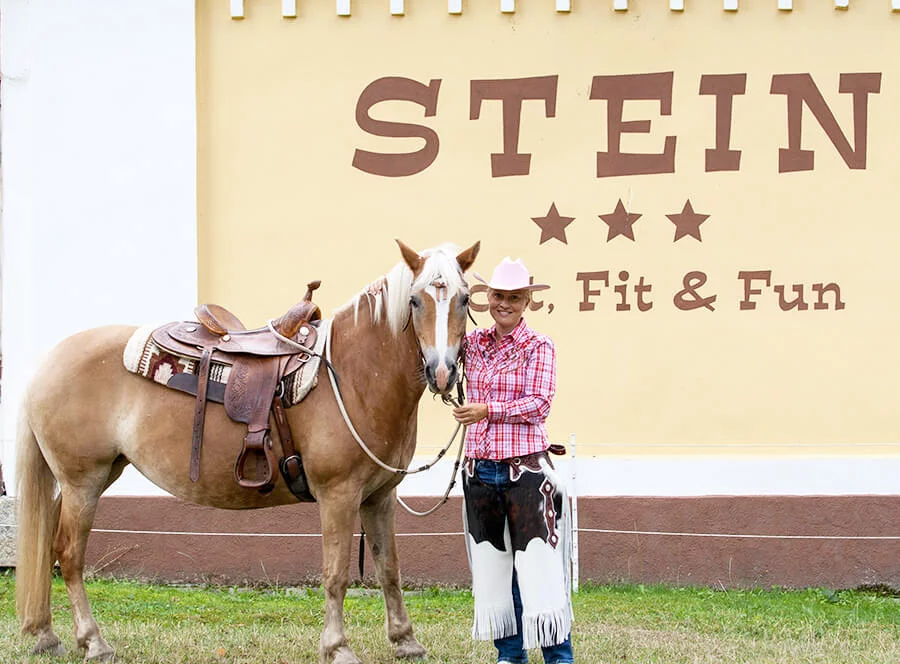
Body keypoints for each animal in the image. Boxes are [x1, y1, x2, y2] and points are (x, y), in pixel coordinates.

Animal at [15, 240, 478, 664]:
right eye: (415, 300)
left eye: (464, 298)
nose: (441, 371)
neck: (351, 374)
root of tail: (49, 362)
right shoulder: (339, 495)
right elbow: (336, 574)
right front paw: (337, 647)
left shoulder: (379, 497)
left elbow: (389, 569)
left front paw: (405, 641)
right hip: (83, 482)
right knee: (68, 555)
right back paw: (93, 641)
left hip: (87, 479)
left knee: (46, 546)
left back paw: (45, 636)